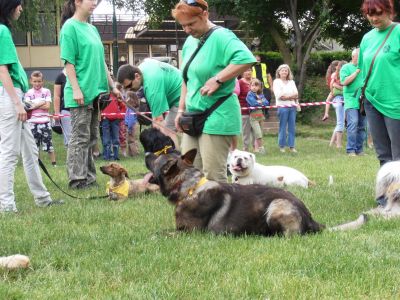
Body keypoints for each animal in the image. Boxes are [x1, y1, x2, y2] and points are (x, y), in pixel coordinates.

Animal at [145, 149, 364, 236]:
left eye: (156, 157)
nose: (146, 153)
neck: (190, 187)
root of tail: (310, 217)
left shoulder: (190, 233)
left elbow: (160, 234)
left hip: (276, 206)